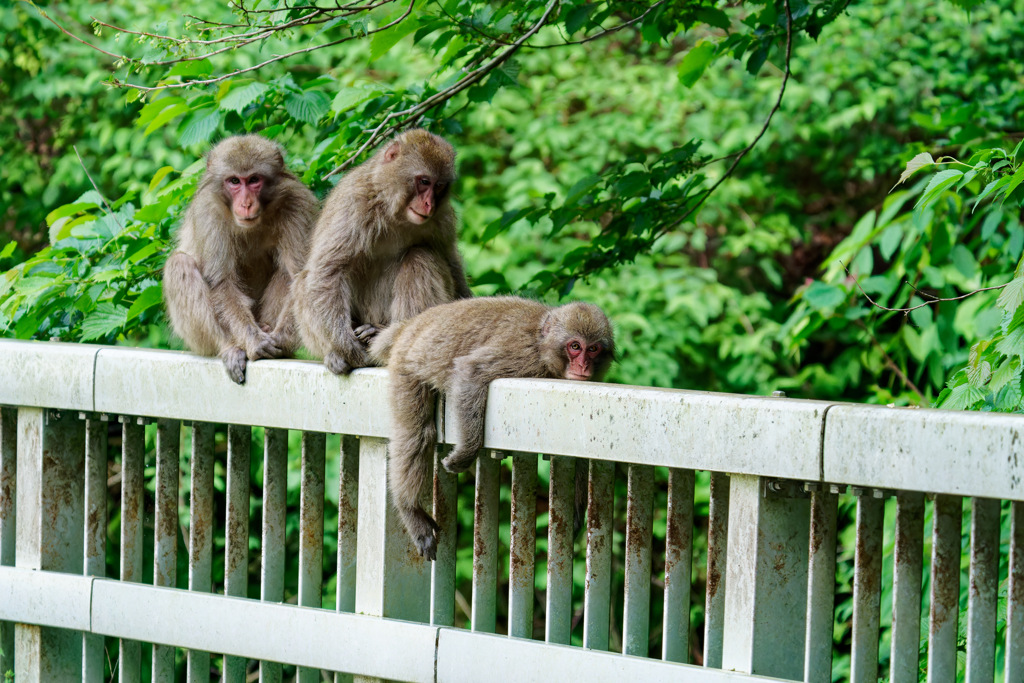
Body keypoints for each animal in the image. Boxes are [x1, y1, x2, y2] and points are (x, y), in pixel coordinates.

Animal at [162, 133, 319, 385]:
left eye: (254, 179)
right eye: (234, 181)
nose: (246, 204)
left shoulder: (297, 203)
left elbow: (298, 276)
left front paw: (281, 340)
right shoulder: (208, 211)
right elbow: (221, 282)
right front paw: (254, 342)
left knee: (285, 273)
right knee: (179, 264)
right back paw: (231, 347)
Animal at [292, 127, 471, 374]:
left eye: (439, 186)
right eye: (424, 181)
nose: (429, 204)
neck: (393, 210)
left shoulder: (442, 219)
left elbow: (451, 264)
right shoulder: (354, 203)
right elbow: (328, 271)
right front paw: (346, 347)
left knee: (421, 256)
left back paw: (382, 336)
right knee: (305, 281)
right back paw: (337, 353)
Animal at [370, 296, 614, 561]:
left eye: (593, 349)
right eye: (575, 346)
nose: (583, 366)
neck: (541, 344)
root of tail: (410, 326)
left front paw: (576, 512)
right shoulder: (522, 354)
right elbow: (471, 371)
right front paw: (466, 452)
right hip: (405, 364)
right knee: (416, 434)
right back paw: (410, 508)